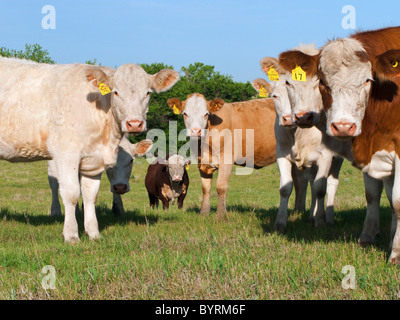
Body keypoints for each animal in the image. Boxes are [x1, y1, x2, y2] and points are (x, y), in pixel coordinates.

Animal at [0, 57, 180, 242]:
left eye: (147, 93)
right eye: (115, 92)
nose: (135, 124)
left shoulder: (94, 158)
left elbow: (90, 196)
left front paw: (94, 233)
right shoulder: (66, 154)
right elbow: (71, 194)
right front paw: (71, 235)